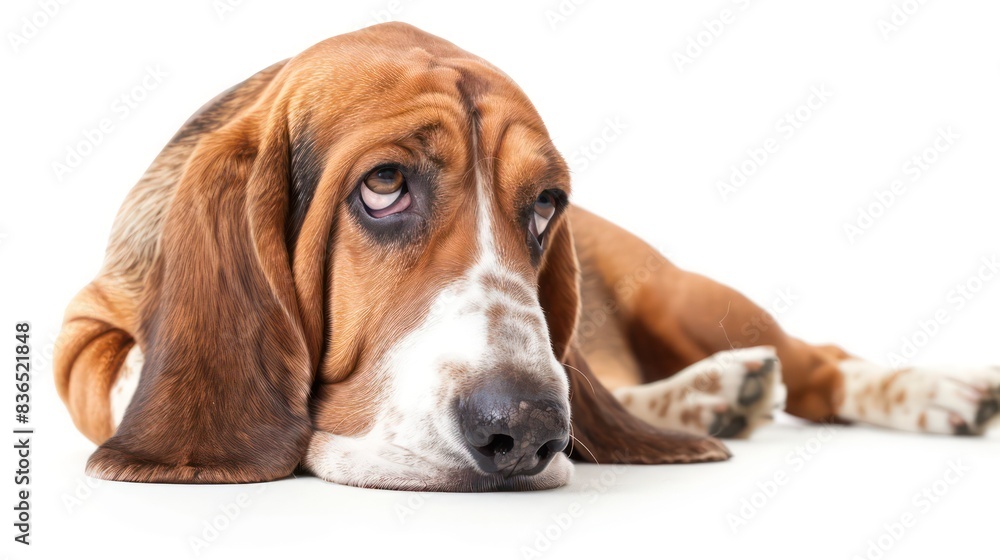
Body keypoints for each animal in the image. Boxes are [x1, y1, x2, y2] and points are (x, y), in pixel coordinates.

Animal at [54, 23, 1000, 491]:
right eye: (384, 184)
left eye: (546, 204)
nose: (529, 430)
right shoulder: (87, 340)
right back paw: (715, 398)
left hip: (684, 297)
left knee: (820, 362)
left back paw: (930, 392)